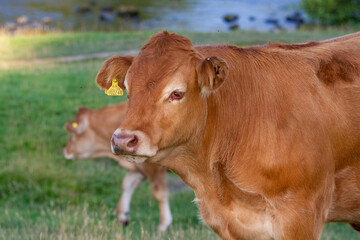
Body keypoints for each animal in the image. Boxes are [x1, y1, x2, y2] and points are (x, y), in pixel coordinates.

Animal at [64, 102, 172, 232]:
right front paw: (123, 215)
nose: (66, 150)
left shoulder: (153, 168)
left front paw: (163, 224)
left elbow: (159, 193)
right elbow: (128, 183)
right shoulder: (139, 168)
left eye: (73, 134)